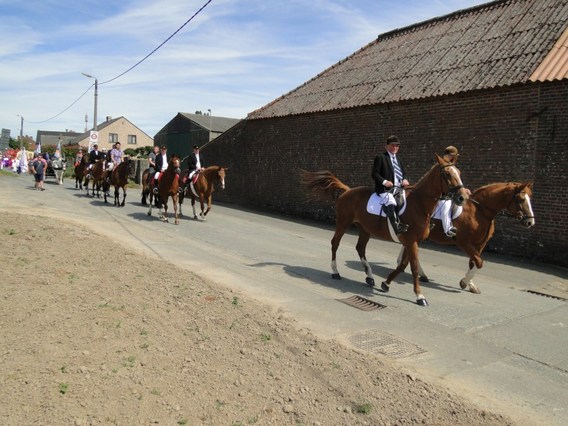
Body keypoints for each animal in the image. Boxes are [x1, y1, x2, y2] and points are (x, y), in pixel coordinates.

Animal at [304, 156, 468, 306]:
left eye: (459, 172)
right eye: (447, 173)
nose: (462, 197)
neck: (419, 204)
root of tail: (348, 191)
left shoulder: (411, 242)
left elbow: (403, 265)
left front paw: (386, 283)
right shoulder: (411, 241)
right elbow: (413, 267)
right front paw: (420, 296)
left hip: (365, 229)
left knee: (360, 248)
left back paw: (370, 277)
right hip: (343, 224)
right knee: (335, 244)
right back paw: (336, 272)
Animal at [398, 181, 536, 294]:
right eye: (521, 199)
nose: (530, 222)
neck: (479, 211)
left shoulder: (479, 244)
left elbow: (473, 262)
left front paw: (471, 285)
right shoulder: (465, 243)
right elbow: (479, 262)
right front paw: (464, 282)